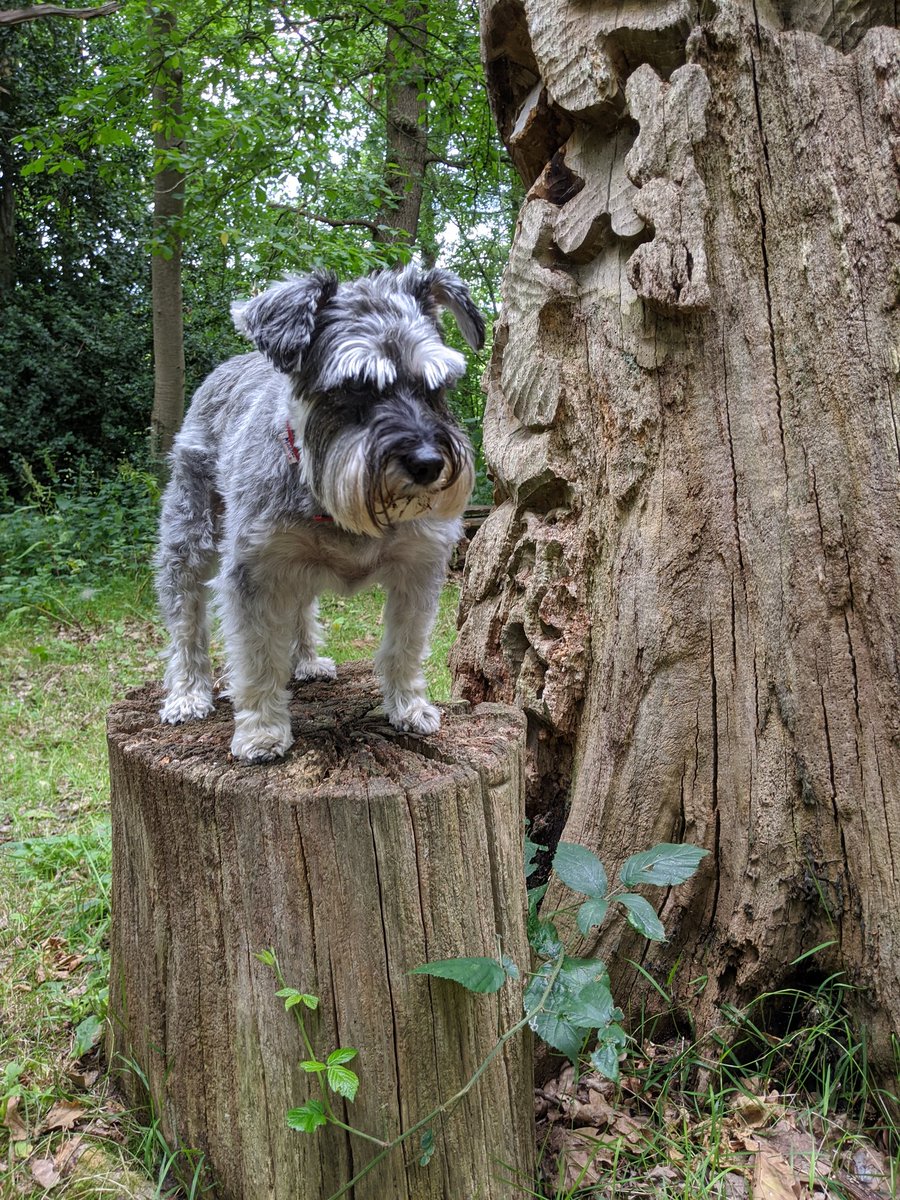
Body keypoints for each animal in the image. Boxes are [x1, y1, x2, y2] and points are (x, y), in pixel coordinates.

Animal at [154, 268, 487, 763]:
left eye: (436, 387)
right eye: (355, 386)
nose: (428, 464)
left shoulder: (419, 565)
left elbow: (405, 646)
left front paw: (409, 706)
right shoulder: (255, 571)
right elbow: (257, 657)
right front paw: (262, 730)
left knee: (300, 607)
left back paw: (307, 660)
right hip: (190, 534)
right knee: (186, 620)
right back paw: (188, 693)